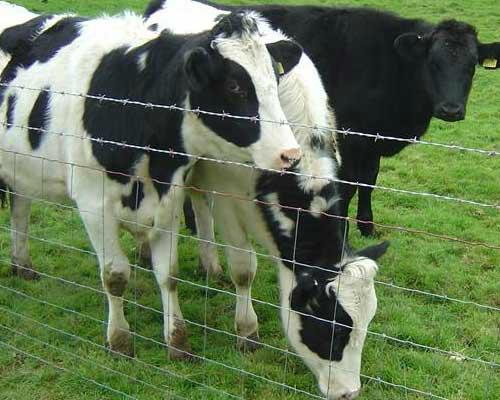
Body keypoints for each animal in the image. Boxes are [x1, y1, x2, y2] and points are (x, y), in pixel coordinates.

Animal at [0, 10, 302, 358]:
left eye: (275, 80)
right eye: (234, 85)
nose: (290, 154)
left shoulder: (169, 198)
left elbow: (168, 274)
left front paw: (177, 341)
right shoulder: (93, 204)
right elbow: (114, 275)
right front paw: (119, 340)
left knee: (20, 207)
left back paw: (22, 264)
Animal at [145, 0, 500, 236]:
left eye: (471, 66)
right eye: (434, 62)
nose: (451, 109)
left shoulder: (371, 141)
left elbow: (368, 182)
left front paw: (366, 225)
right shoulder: (349, 139)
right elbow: (348, 186)